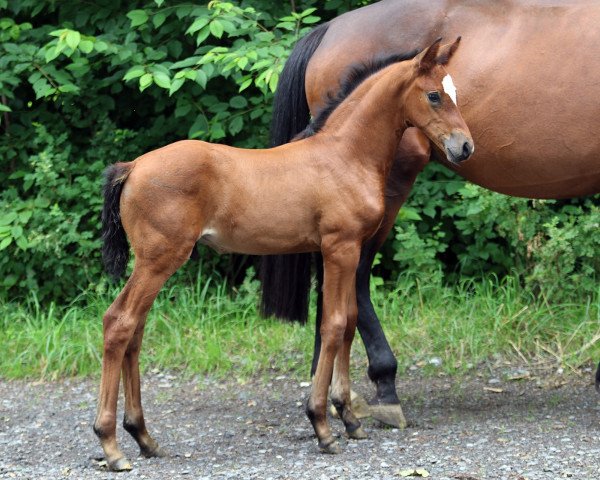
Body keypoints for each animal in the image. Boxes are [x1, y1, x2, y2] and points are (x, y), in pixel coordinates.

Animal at [92, 39, 474, 470]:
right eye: (434, 95)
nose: (465, 147)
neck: (345, 155)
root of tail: (133, 166)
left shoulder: (343, 251)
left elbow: (348, 322)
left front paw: (349, 419)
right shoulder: (340, 248)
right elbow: (334, 325)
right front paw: (322, 426)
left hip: (152, 263)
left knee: (135, 330)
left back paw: (143, 437)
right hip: (159, 259)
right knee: (119, 323)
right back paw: (112, 445)